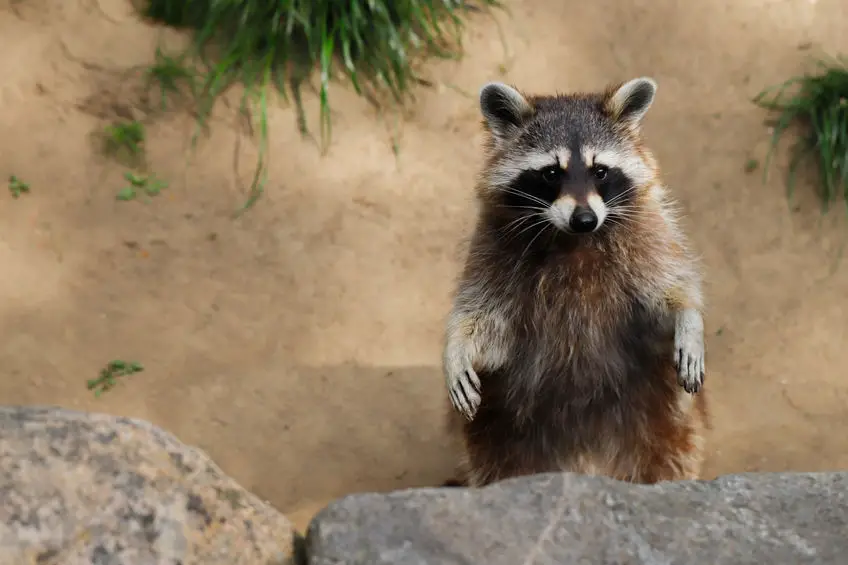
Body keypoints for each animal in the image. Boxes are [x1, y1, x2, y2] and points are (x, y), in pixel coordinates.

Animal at [444, 77, 708, 486]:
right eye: (552, 173)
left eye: (600, 171)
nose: (585, 219)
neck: (573, 241)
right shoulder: (493, 252)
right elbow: (484, 319)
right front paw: (457, 349)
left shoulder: (647, 238)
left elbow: (668, 293)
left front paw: (689, 319)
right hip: (502, 431)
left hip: (662, 420)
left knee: (671, 456)